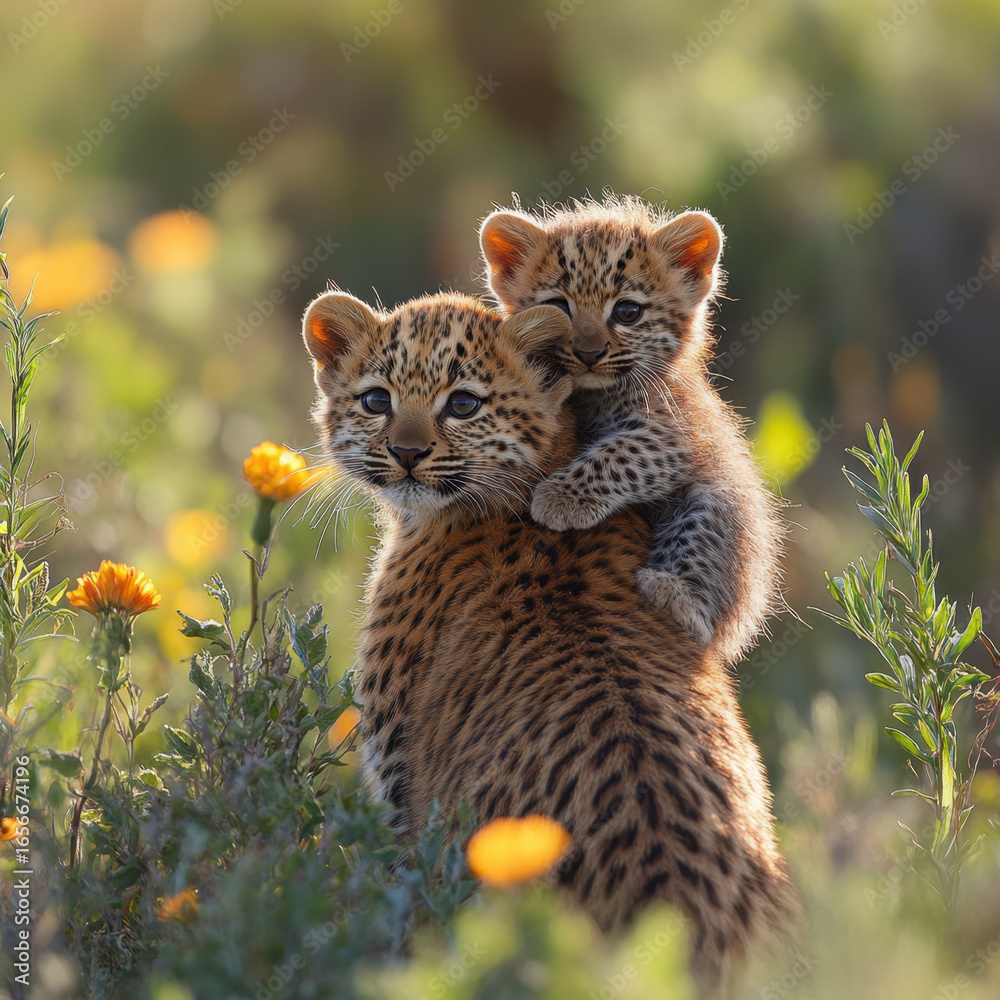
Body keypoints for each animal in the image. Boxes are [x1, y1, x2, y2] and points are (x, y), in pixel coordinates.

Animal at [479, 194, 784, 665]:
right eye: (558, 306)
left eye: (627, 312)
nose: (588, 353)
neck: (594, 396)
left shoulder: (676, 437)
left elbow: (621, 455)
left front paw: (558, 499)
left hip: (718, 504)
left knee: (705, 612)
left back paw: (672, 594)